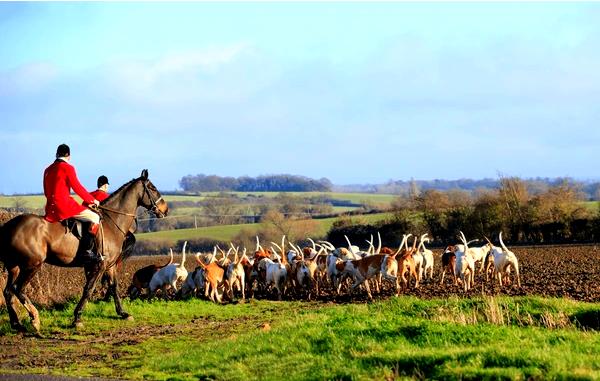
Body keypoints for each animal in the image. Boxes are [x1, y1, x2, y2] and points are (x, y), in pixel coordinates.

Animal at [1, 168, 169, 332]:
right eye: (152, 188)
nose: (165, 209)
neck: (112, 222)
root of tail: (9, 225)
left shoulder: (109, 266)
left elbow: (114, 287)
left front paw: (123, 313)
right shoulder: (100, 265)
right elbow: (89, 288)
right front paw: (77, 318)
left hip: (14, 267)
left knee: (8, 292)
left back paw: (17, 324)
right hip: (32, 265)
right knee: (17, 288)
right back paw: (34, 318)